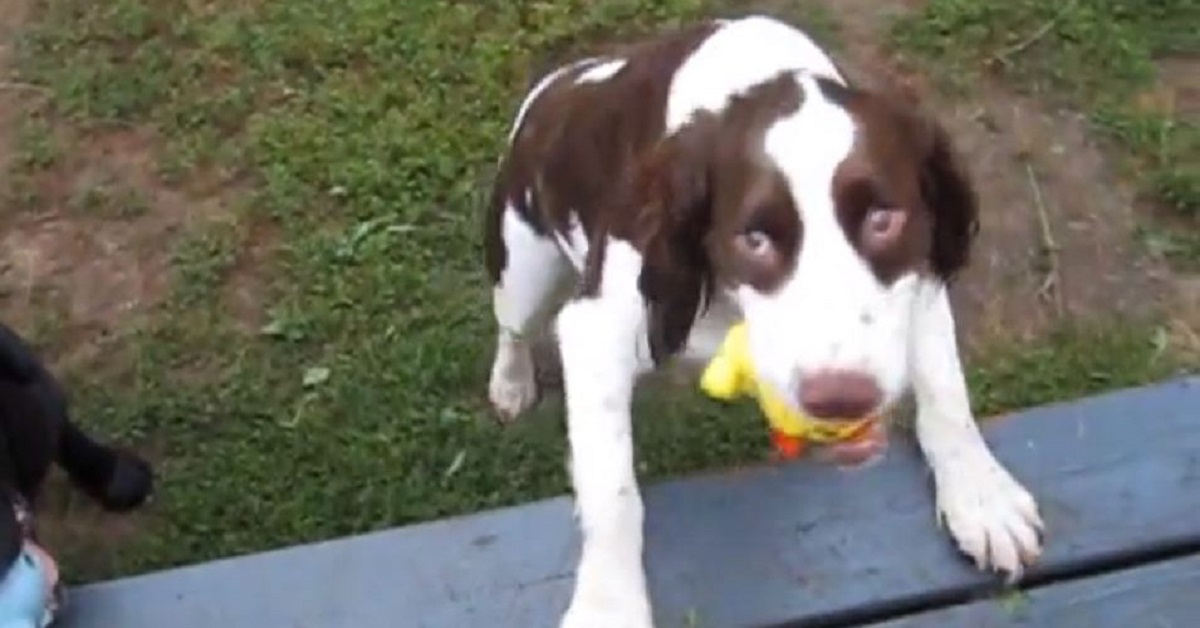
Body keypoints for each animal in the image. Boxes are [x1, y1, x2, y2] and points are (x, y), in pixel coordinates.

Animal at [482, 15, 1046, 628]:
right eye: (753, 239)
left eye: (883, 219)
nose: (841, 399)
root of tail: (557, 85)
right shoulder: (598, 328)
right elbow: (614, 491)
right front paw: (610, 606)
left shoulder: (918, 277)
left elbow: (945, 390)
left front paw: (981, 496)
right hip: (523, 266)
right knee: (513, 328)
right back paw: (511, 384)